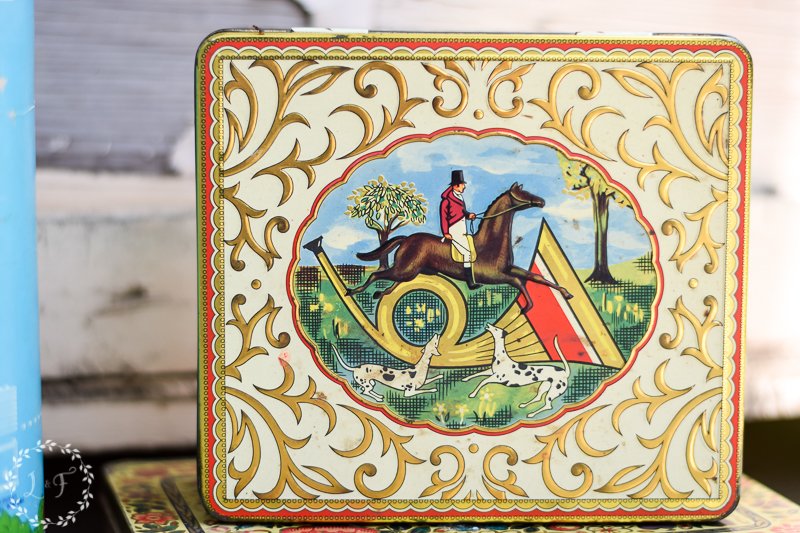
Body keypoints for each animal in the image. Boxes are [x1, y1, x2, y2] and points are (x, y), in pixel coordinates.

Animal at [346, 183, 573, 313]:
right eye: (522, 192)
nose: (541, 201)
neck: (490, 243)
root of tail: (407, 238)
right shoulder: (494, 275)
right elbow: (518, 282)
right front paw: (528, 306)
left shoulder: (508, 269)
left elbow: (535, 277)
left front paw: (566, 293)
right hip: (406, 269)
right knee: (377, 274)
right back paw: (353, 291)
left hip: (411, 271)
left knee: (393, 281)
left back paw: (380, 294)